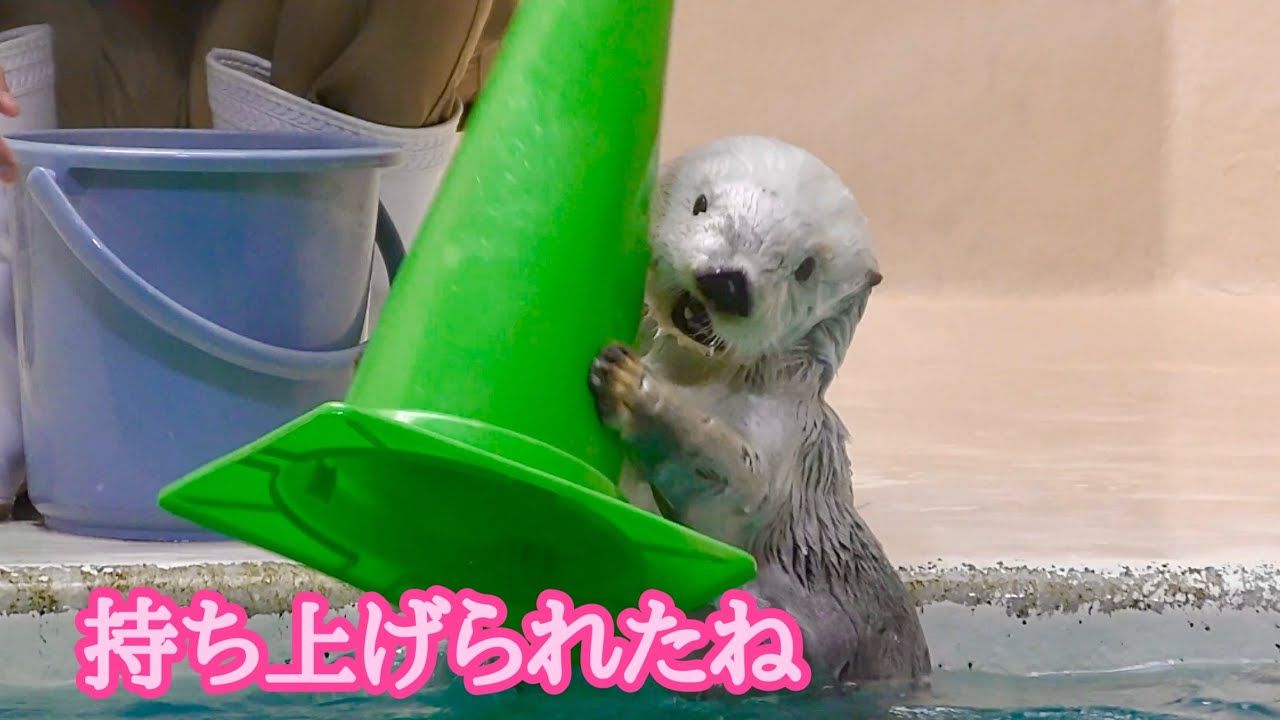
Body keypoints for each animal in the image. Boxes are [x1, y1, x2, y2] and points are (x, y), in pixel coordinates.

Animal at [588, 135, 930, 689]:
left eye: (805, 268)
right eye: (700, 203)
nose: (725, 283)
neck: (698, 370)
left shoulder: (785, 431)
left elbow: (738, 483)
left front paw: (633, 390)